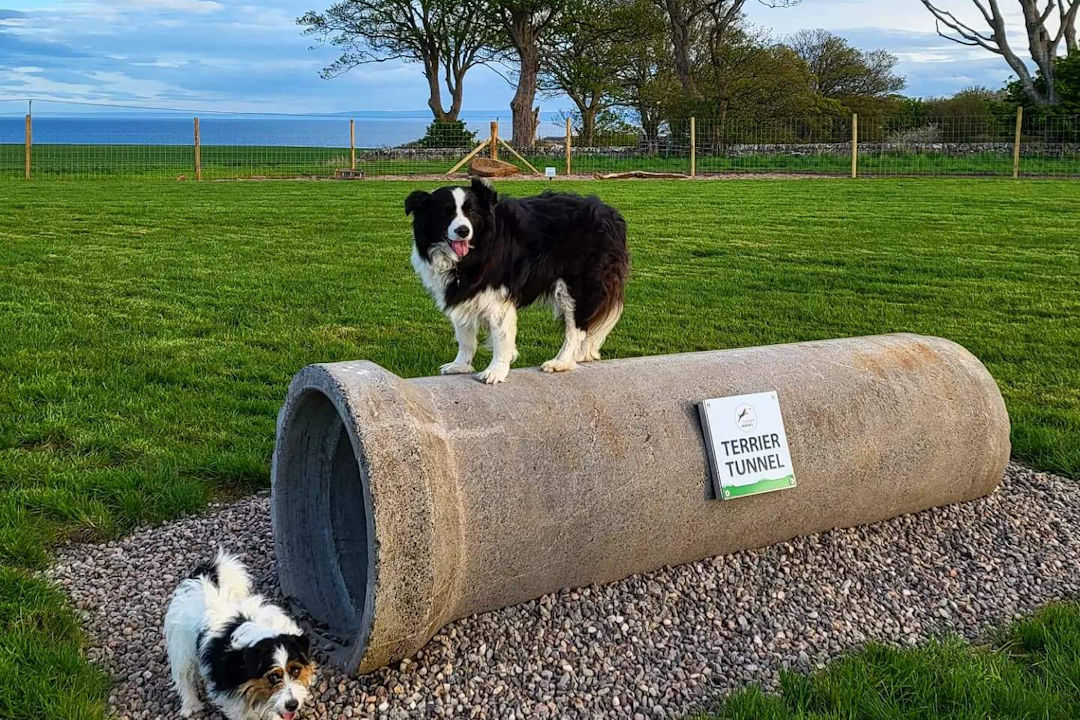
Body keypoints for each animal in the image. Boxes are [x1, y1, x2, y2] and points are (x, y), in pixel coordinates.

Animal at [162, 552, 315, 720]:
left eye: (296, 671)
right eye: (273, 677)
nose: (293, 704)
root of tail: (201, 580)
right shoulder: (231, 697)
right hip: (182, 650)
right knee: (184, 678)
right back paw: (191, 705)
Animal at [406, 179, 630, 382]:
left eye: (471, 212)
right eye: (445, 212)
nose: (463, 231)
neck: (473, 252)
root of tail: (609, 212)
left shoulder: (497, 295)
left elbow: (501, 337)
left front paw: (495, 371)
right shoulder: (464, 293)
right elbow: (465, 335)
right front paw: (460, 365)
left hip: (578, 283)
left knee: (577, 327)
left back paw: (562, 361)